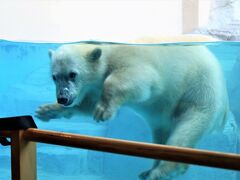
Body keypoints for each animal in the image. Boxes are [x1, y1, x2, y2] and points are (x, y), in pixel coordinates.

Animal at [35, 35, 229, 179]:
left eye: (72, 74)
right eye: (54, 76)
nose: (63, 98)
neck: (109, 52)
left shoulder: (133, 61)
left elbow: (137, 80)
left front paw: (102, 111)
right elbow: (86, 104)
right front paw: (45, 110)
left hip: (200, 92)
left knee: (187, 129)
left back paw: (161, 172)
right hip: (167, 114)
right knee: (161, 135)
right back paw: (150, 170)